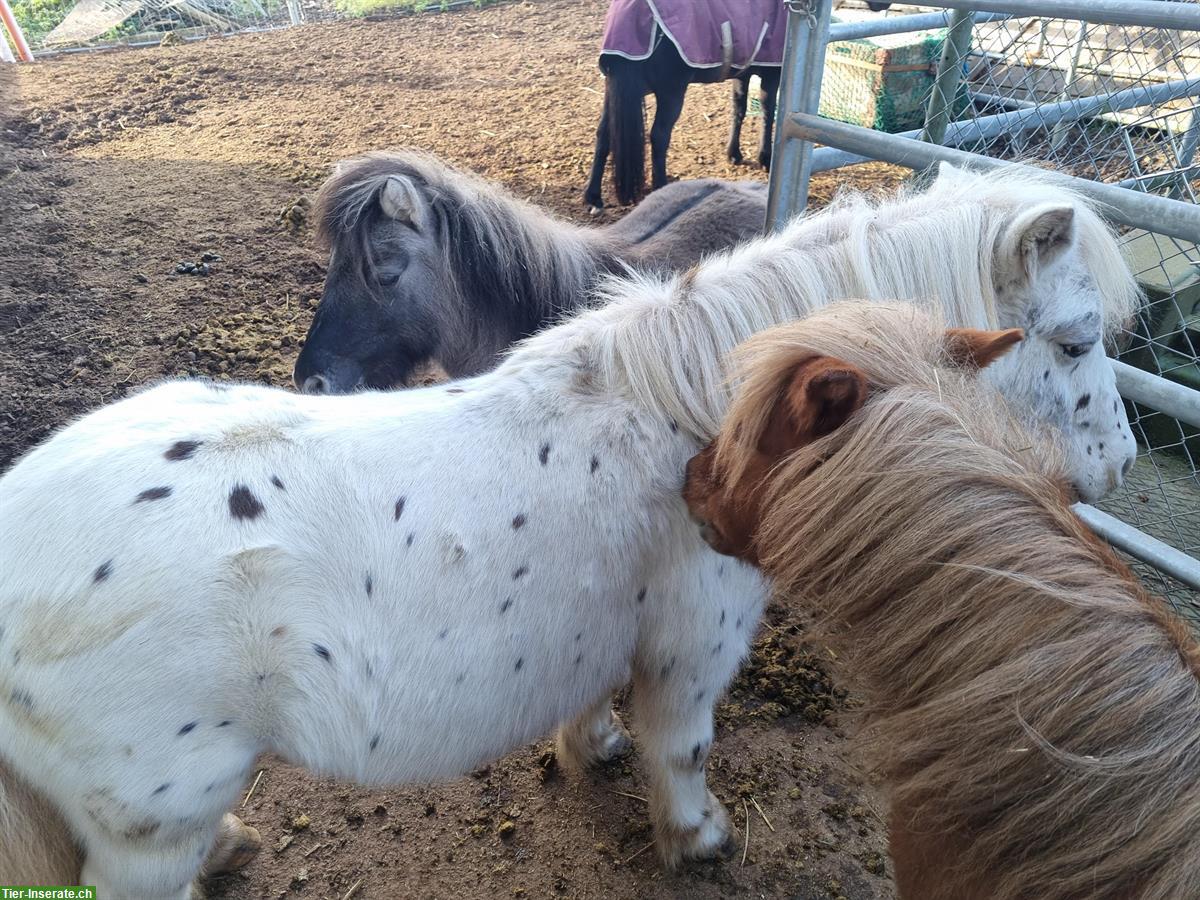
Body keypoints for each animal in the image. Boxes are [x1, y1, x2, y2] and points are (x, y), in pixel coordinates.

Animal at [0, 165, 1137, 897]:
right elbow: (682, 748)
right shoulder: (694, 647)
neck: (691, 417)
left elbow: (598, 705)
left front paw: (588, 747)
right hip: (143, 828)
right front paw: (698, 840)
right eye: (1078, 340)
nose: (1120, 468)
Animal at [583, 37, 787, 211]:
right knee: (659, 136)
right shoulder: (773, 73)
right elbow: (768, 112)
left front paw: (734, 154)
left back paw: (593, 197)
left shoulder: (742, 71)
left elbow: (739, 109)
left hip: (620, 91)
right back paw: (661, 187)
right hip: (671, 91)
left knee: (604, 134)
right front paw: (765, 158)